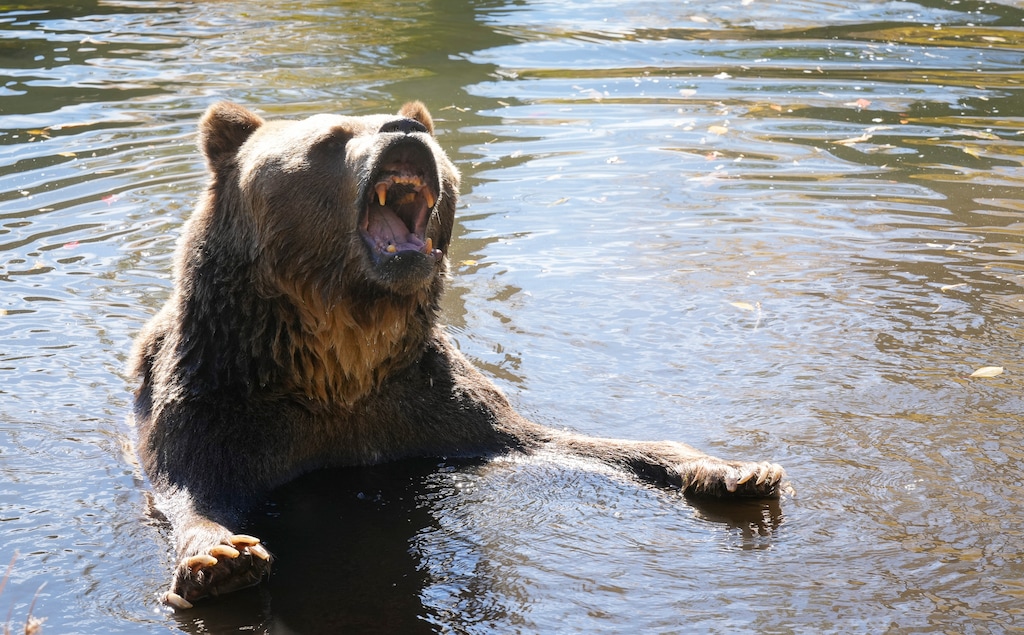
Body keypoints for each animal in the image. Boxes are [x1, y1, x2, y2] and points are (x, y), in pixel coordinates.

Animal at [130, 100, 787, 610]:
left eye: (416, 128)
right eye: (332, 138)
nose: (405, 129)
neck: (343, 356)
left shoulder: (431, 406)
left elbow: (564, 442)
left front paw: (735, 469)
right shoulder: (226, 398)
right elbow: (190, 485)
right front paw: (222, 554)